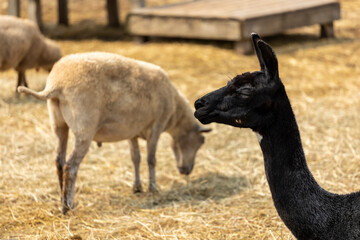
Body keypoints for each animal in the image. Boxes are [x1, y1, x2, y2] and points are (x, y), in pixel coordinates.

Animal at [18, 52, 211, 214]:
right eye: (201, 141)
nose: (186, 171)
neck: (174, 114)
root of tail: (56, 84)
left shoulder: (132, 131)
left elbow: (135, 158)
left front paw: (137, 187)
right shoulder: (156, 125)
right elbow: (151, 159)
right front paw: (153, 187)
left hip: (59, 124)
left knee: (59, 161)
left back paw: (61, 199)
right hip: (84, 128)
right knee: (70, 166)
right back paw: (68, 206)